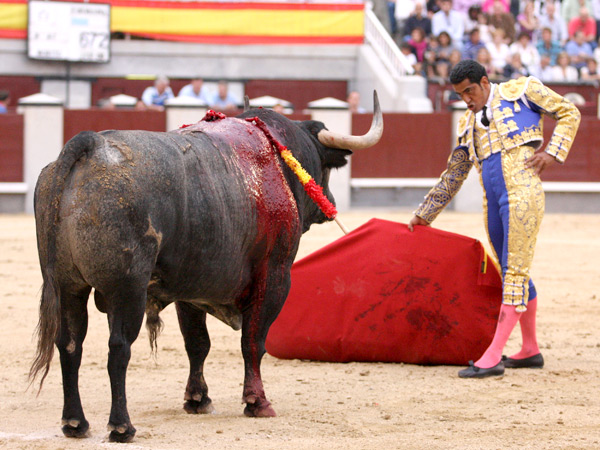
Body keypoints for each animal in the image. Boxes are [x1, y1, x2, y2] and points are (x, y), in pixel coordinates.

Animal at [28, 96, 382, 442]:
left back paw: (75, 422)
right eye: (325, 166)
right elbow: (254, 341)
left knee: (69, 344)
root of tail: (91, 147)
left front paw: (197, 399)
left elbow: (197, 344)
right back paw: (121, 426)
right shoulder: (275, 275)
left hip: (66, 286)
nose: (330, 202)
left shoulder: (191, 289)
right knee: (119, 347)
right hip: (127, 289)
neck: (275, 157)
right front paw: (257, 401)